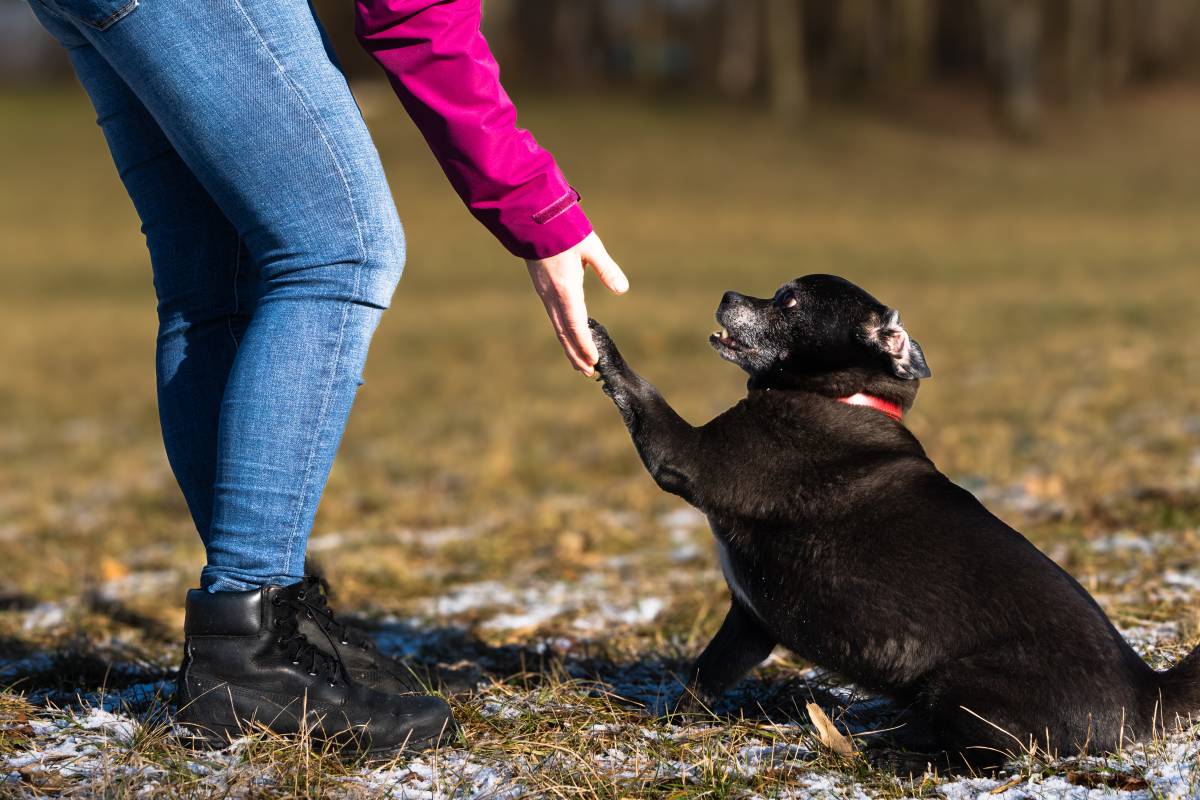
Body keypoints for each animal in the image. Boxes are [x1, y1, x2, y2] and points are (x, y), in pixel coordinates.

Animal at [590, 277, 1200, 767]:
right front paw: (667, 721)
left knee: (989, 754)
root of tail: (1150, 694)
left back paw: (884, 751)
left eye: (788, 301)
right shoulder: (751, 618)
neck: (843, 396)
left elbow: (642, 394)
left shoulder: (685, 456)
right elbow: (705, 674)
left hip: (962, 687)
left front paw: (596, 340)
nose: (726, 295)